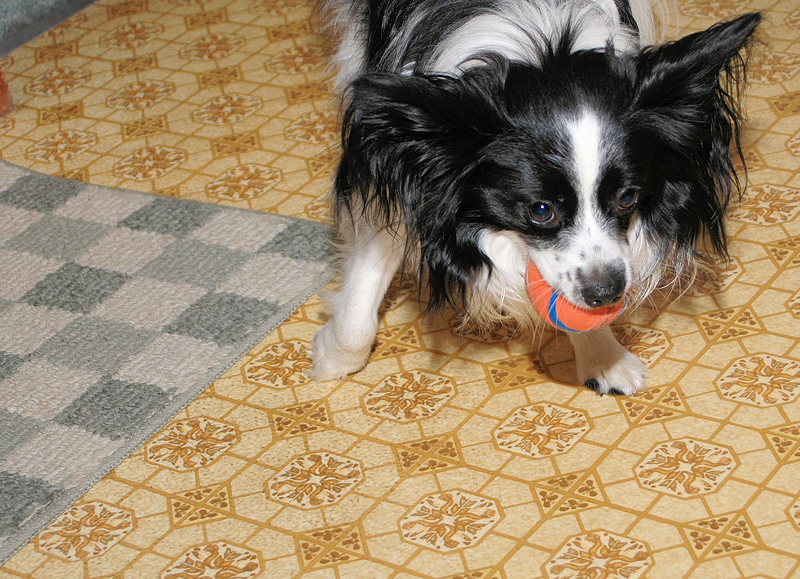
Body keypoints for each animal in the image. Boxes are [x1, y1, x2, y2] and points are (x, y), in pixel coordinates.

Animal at [308, 0, 764, 396]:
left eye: (628, 197)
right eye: (540, 211)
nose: (608, 295)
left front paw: (603, 356)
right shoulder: (389, 156)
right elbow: (369, 266)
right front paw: (336, 356)